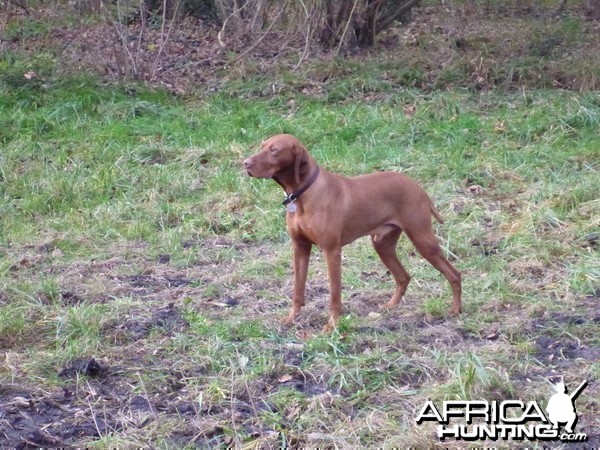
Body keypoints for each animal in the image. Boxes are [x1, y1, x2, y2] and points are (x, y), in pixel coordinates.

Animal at [241, 134, 462, 330]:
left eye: (274, 150)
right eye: (262, 146)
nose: (245, 163)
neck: (304, 194)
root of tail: (417, 187)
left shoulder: (332, 251)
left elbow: (334, 293)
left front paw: (332, 326)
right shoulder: (300, 248)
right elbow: (298, 288)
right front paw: (291, 318)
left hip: (422, 240)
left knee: (454, 274)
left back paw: (456, 310)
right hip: (382, 244)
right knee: (403, 277)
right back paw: (390, 306)